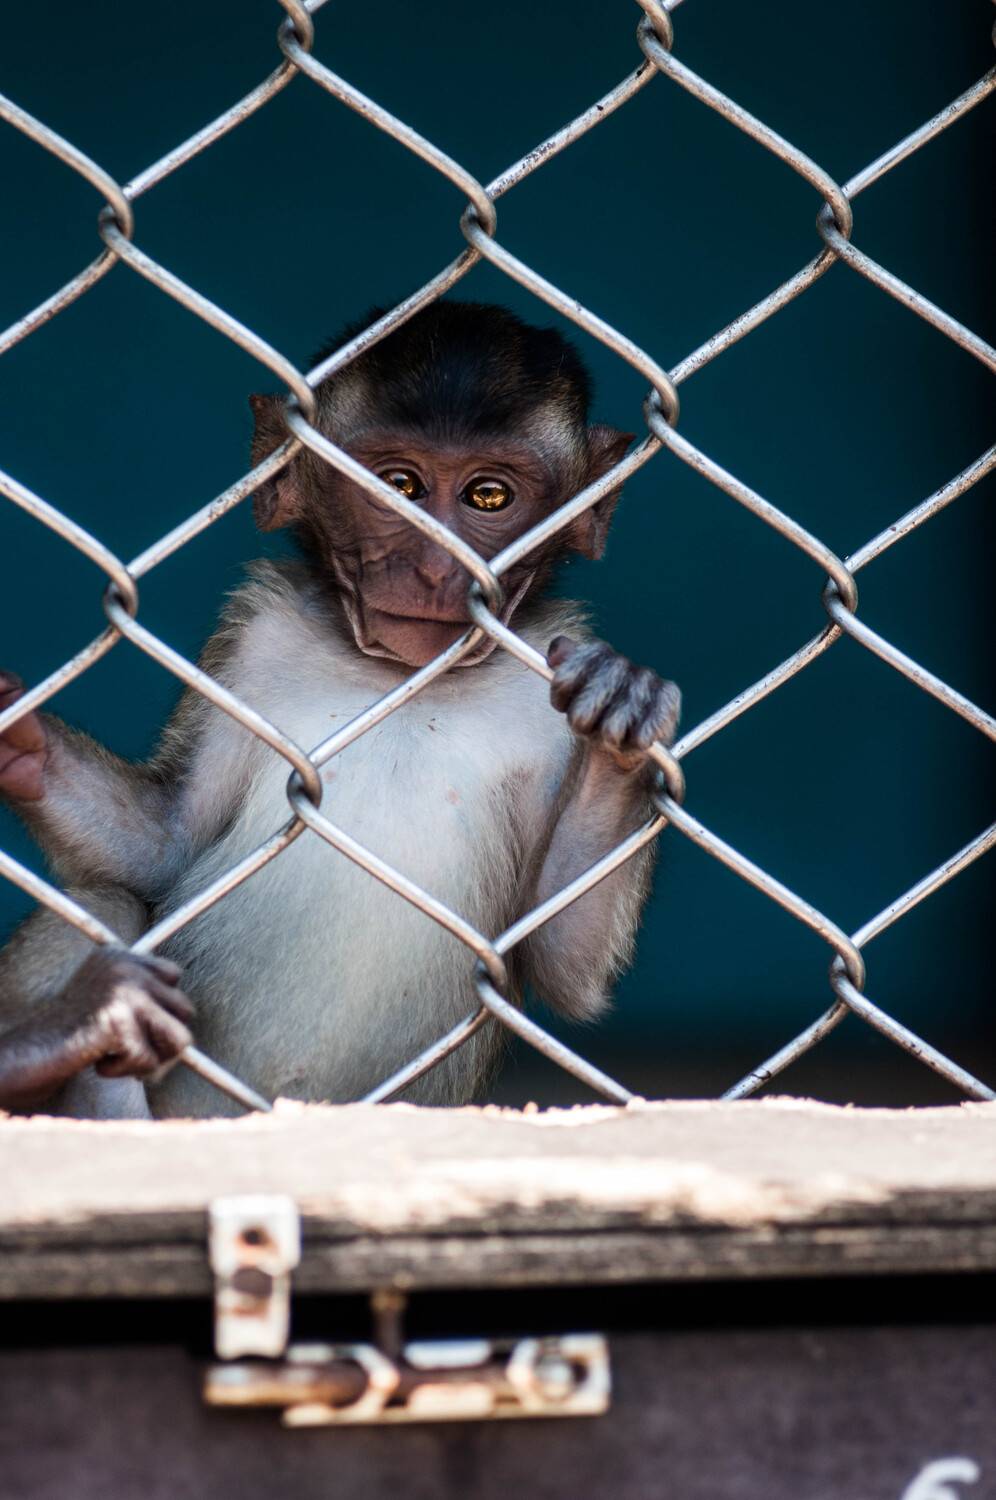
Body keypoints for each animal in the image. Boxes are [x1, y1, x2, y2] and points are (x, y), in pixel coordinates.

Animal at [0, 301, 680, 1118]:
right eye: (398, 486)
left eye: (489, 497)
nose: (436, 568)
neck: (406, 681)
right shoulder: (256, 636)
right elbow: (160, 842)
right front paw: (17, 735)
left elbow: (563, 959)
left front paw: (622, 716)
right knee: (106, 906)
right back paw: (65, 1035)